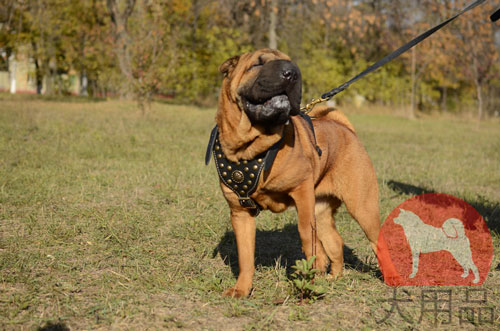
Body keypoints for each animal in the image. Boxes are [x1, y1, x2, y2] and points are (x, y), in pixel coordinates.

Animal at [213, 48, 396, 298]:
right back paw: (334, 277)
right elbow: (246, 256)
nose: (291, 73)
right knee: (335, 242)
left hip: (362, 208)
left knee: (377, 241)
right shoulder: (240, 212)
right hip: (322, 208)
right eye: (257, 65)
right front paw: (241, 290)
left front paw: (309, 280)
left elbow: (306, 237)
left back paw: (391, 279)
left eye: (290, 63)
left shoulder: (302, 193)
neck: (253, 149)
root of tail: (346, 129)